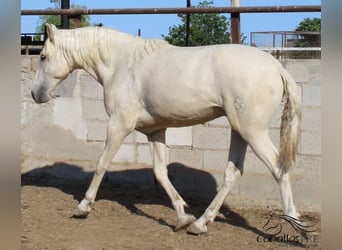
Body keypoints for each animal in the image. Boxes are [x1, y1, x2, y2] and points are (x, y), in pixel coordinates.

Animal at [30, 23, 300, 234]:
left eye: (42, 56)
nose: (35, 94)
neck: (121, 65)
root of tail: (277, 67)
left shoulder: (119, 125)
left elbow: (101, 164)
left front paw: (83, 207)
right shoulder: (155, 131)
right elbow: (160, 173)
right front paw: (182, 217)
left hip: (253, 131)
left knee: (278, 168)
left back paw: (295, 224)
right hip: (240, 131)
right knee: (232, 173)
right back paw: (199, 223)